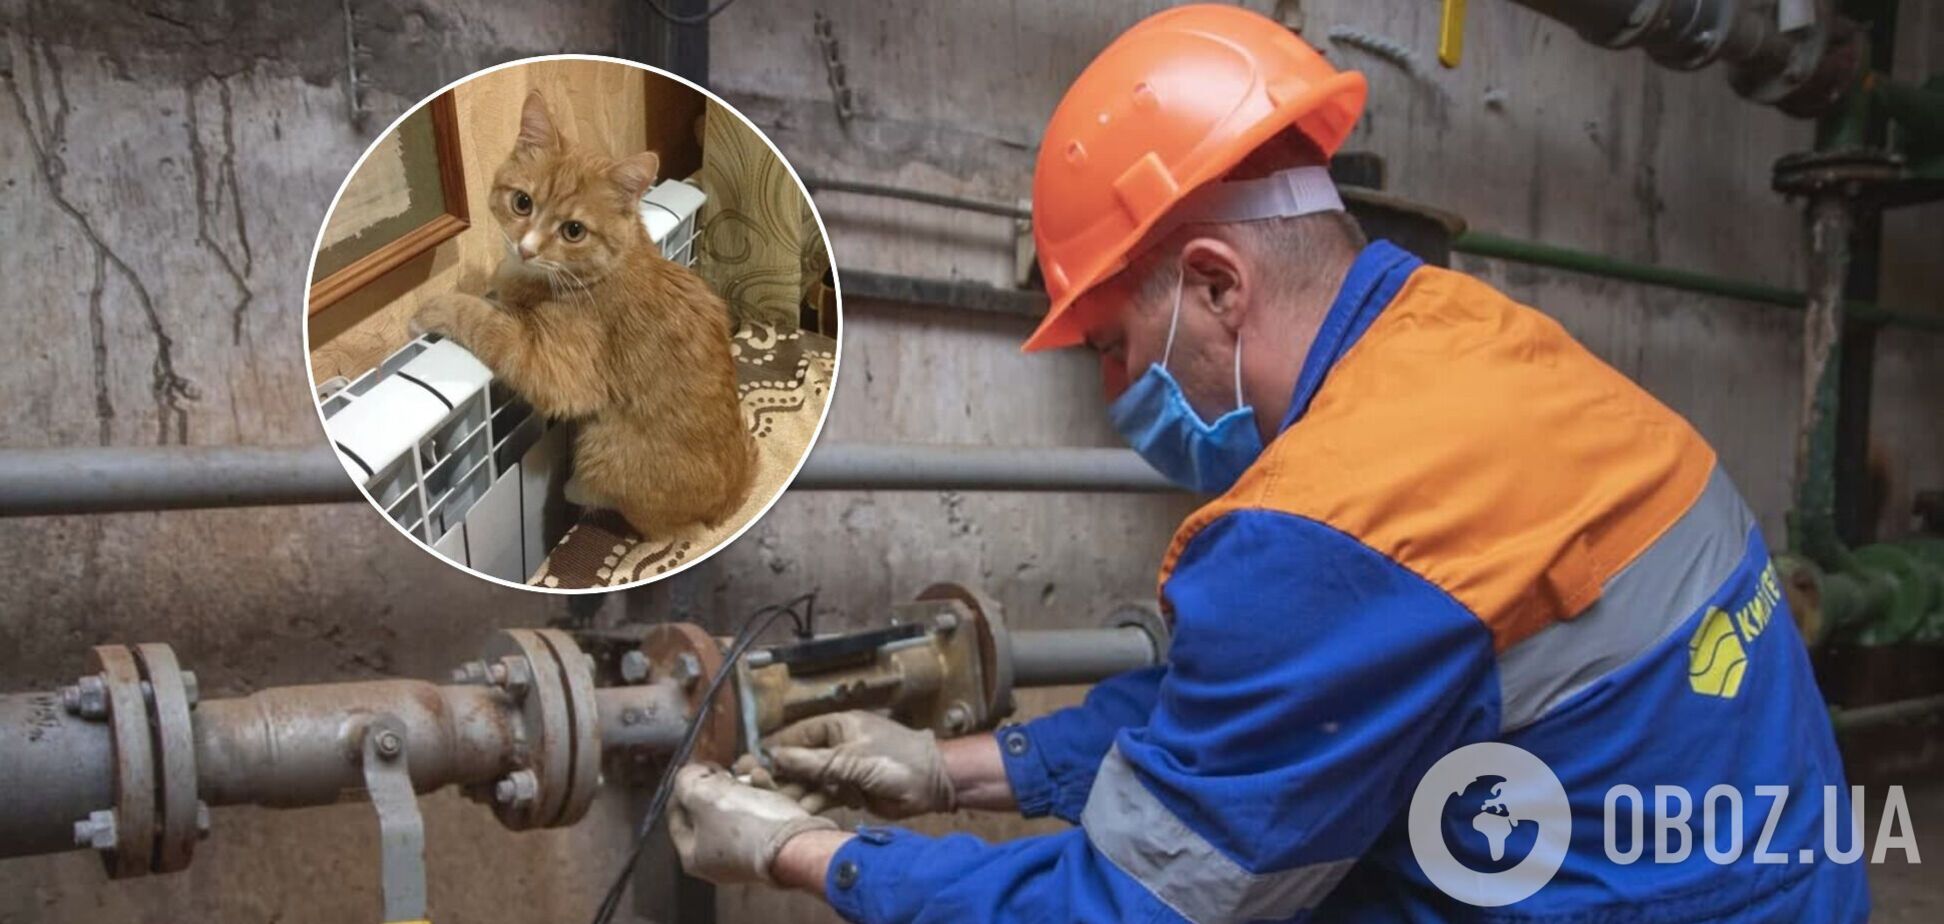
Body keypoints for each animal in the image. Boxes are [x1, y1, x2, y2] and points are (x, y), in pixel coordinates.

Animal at [414, 90, 754, 540]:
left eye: (573, 231)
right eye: (522, 202)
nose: (526, 249)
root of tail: (730, 499)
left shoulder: (555, 370)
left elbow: (485, 320)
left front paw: (435, 307)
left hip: (602, 446)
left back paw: (577, 489)